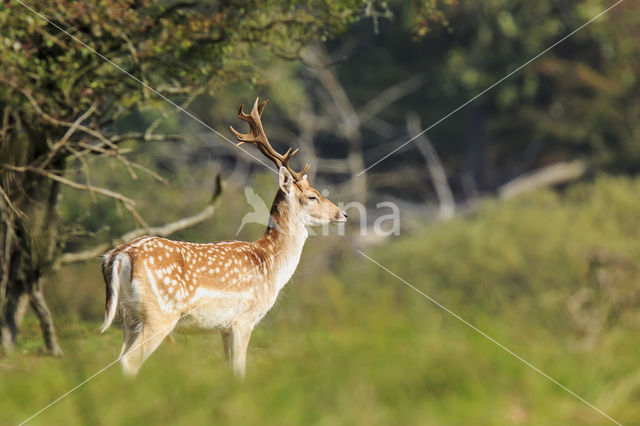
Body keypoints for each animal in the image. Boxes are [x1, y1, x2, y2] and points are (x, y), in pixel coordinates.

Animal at [100, 99, 348, 376]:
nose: (343, 214)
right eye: (313, 196)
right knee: (130, 361)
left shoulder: (224, 328)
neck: (271, 264)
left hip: (127, 316)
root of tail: (119, 256)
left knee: (117, 359)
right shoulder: (244, 319)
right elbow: (240, 370)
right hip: (159, 313)